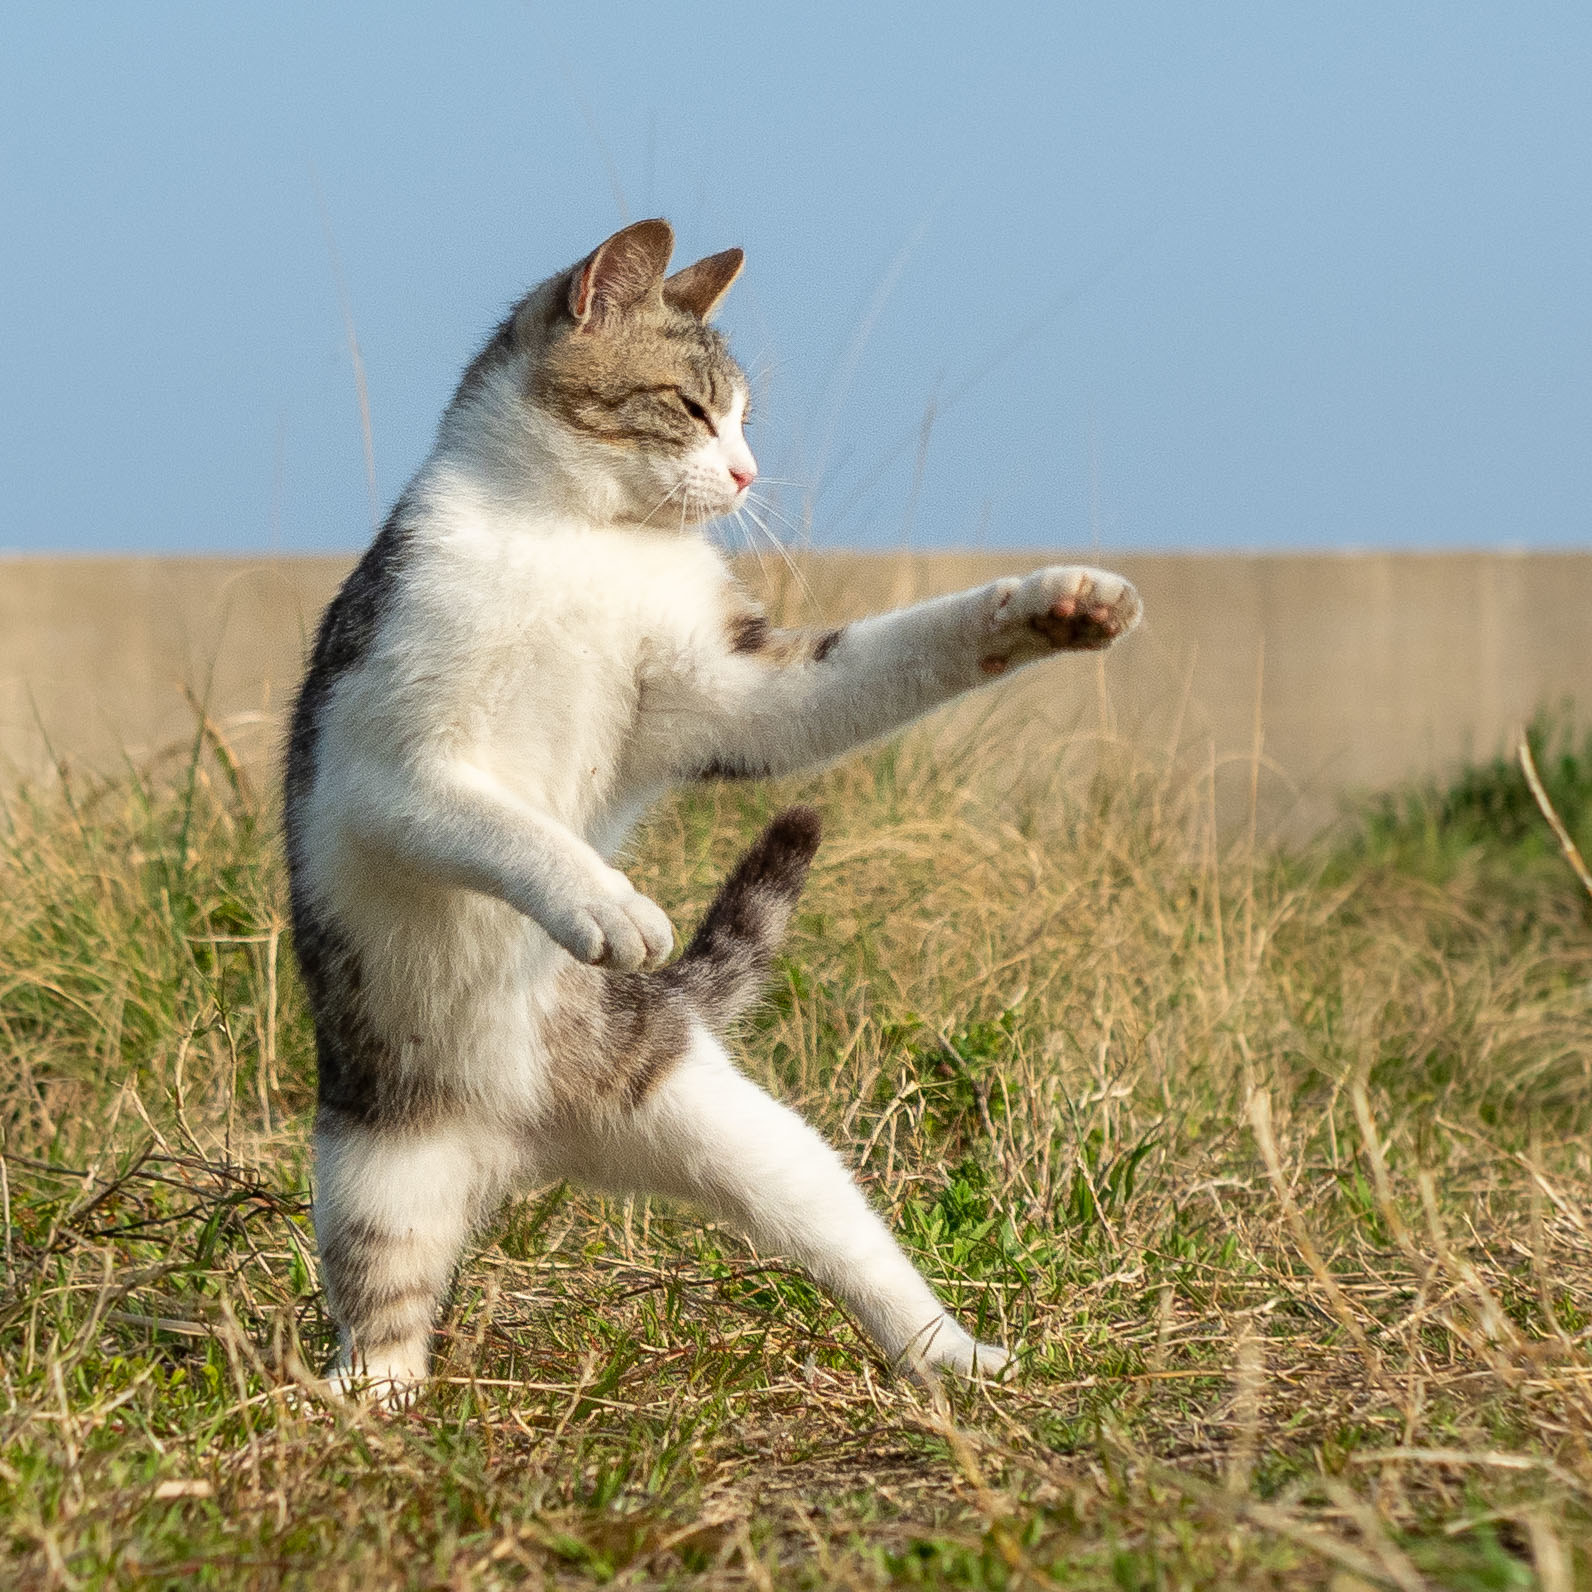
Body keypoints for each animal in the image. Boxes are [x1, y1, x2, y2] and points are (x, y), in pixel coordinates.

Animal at [280, 214, 1139, 1394]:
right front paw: (605, 902)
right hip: (374, 1173)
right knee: (387, 1305)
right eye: (690, 406)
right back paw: (362, 1399)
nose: (745, 474)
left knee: (851, 1243)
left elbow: (878, 659)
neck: (579, 538)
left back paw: (956, 1361)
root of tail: (529, 1148)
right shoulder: (394, 764)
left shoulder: (728, 690)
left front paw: (1049, 604)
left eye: (741, 418)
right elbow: (505, 825)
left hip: (736, 1128)